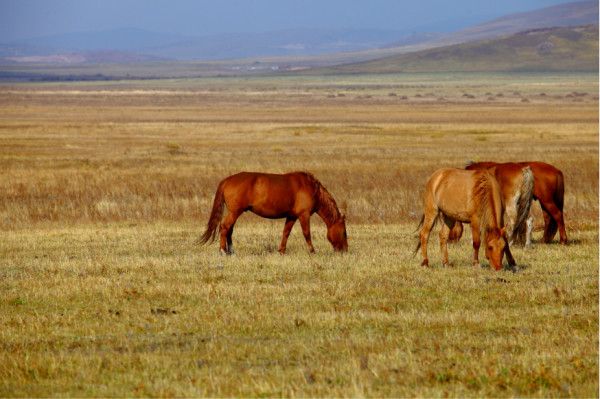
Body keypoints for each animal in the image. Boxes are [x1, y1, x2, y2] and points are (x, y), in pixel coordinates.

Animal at [198, 171, 346, 253]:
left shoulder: (291, 216)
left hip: (234, 213)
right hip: (235, 212)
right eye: (344, 232)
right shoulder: (303, 215)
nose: (344, 250)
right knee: (225, 227)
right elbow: (307, 234)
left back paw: (231, 251)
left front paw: (282, 251)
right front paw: (312, 251)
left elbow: (286, 233)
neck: (310, 188)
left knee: (229, 229)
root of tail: (227, 180)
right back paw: (223, 251)